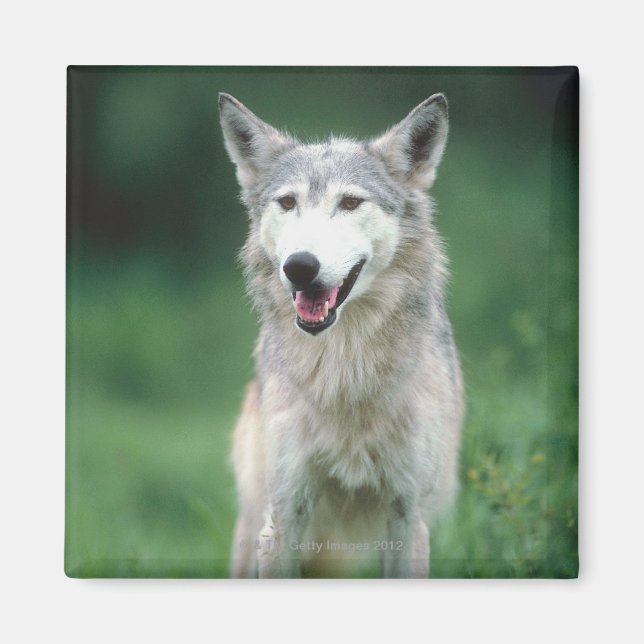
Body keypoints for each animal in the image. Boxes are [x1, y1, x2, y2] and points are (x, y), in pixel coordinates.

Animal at [219, 92, 464, 578]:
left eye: (350, 203)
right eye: (288, 202)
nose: (299, 266)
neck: (343, 368)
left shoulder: (407, 519)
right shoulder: (283, 518)